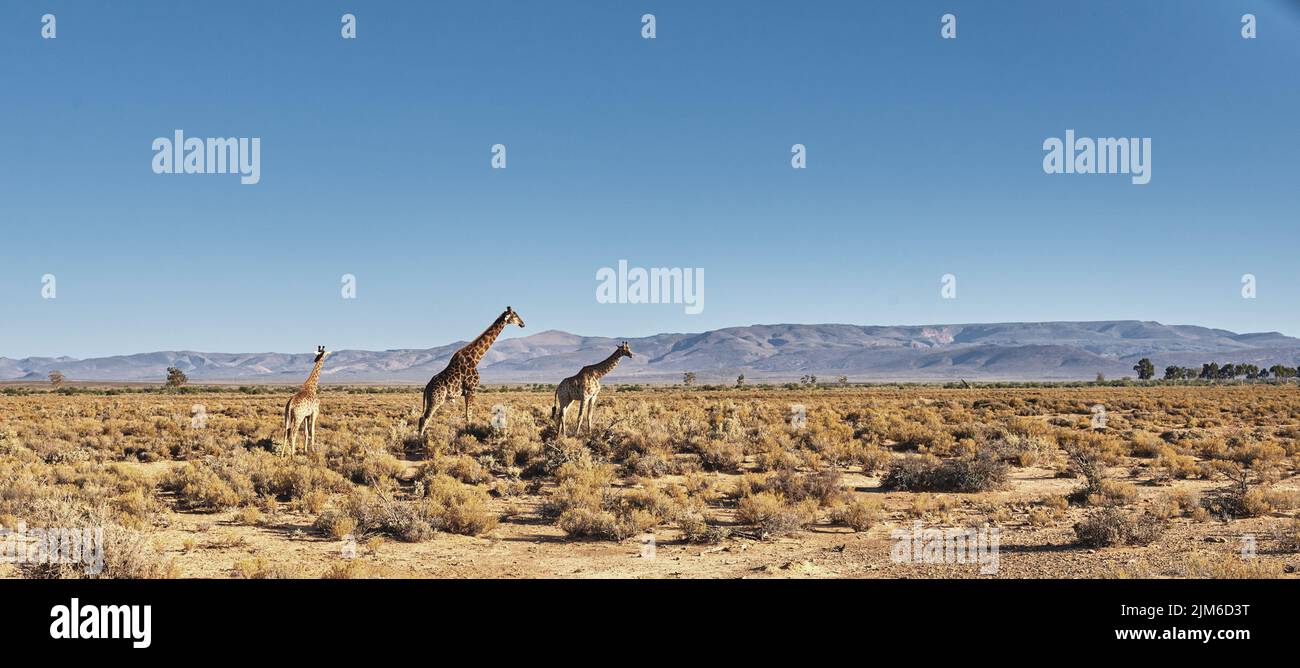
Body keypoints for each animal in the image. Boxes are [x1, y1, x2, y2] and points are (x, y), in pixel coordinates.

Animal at [417, 306, 525, 436]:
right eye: (515, 315)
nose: (523, 324)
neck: (475, 358)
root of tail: (427, 387)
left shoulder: (467, 392)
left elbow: (468, 416)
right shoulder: (471, 389)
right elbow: (469, 416)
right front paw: (468, 434)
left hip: (432, 399)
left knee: (422, 418)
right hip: (437, 399)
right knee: (424, 418)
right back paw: (419, 439)